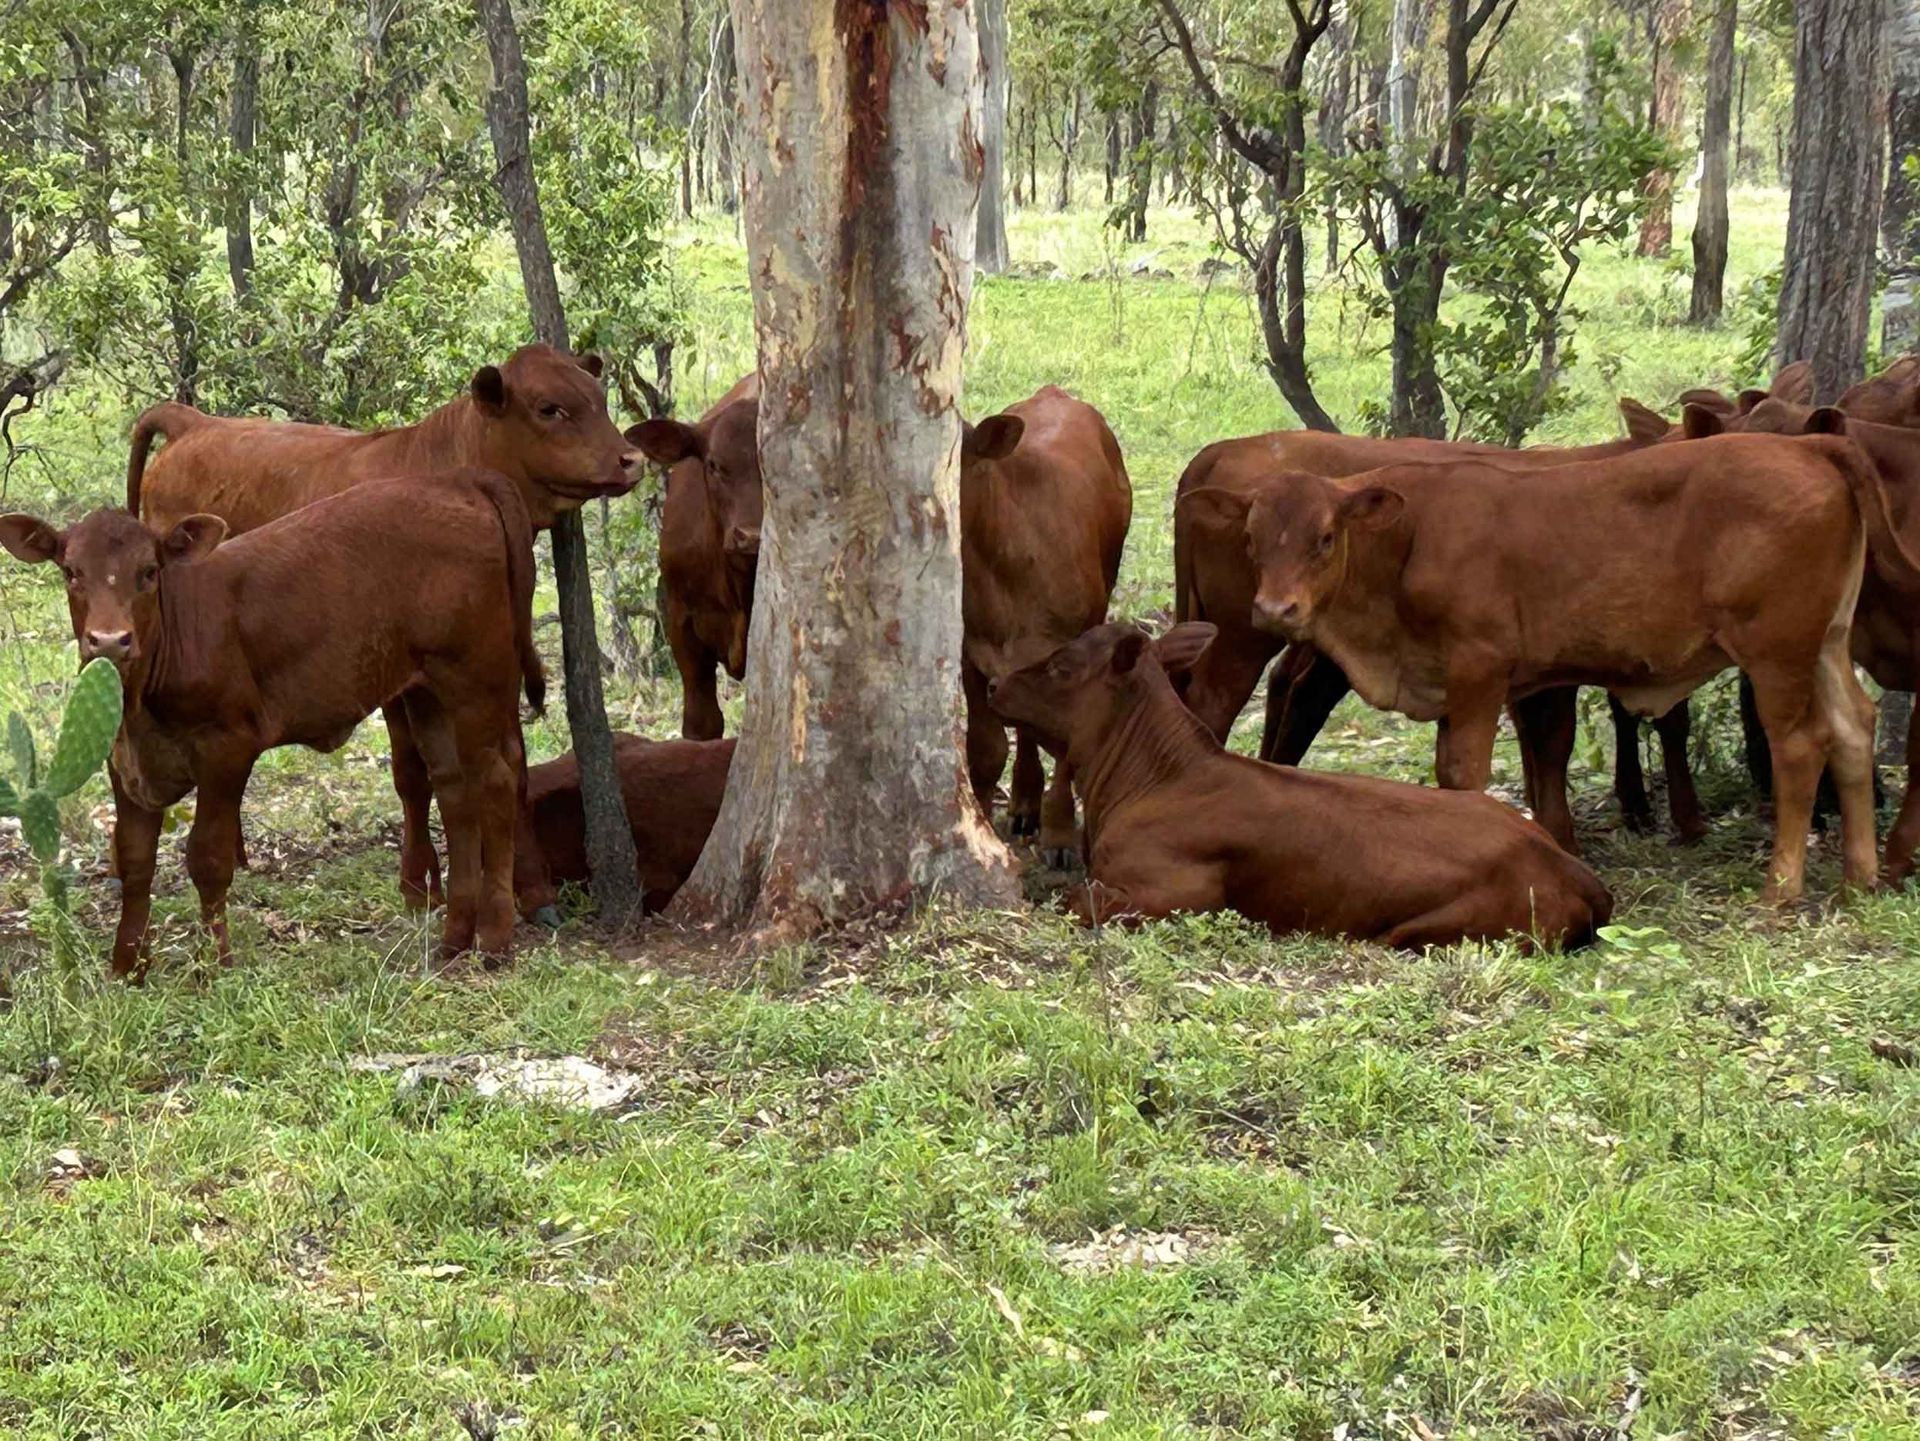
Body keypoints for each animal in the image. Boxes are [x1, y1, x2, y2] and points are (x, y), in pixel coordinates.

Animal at [0, 470, 541, 977]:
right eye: (71, 571)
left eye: (149, 571)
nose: (110, 641)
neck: (139, 705)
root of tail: (456, 480)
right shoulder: (123, 761)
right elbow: (134, 861)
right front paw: (127, 968)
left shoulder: (226, 748)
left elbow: (208, 858)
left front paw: (214, 965)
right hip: (427, 692)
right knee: (454, 790)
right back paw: (455, 937)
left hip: (475, 680)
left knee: (494, 780)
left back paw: (493, 937)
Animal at [125, 343, 640, 910]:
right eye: (550, 408)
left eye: (598, 396)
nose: (631, 458)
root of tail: (195, 423)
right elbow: (412, 772)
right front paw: (419, 880)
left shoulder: (492, 653)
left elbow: (511, 761)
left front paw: (528, 886)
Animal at [986, 623, 1612, 948]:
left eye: (1061, 666)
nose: (994, 685)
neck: (1152, 780)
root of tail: (1569, 864)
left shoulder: (1175, 893)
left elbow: (1075, 901)